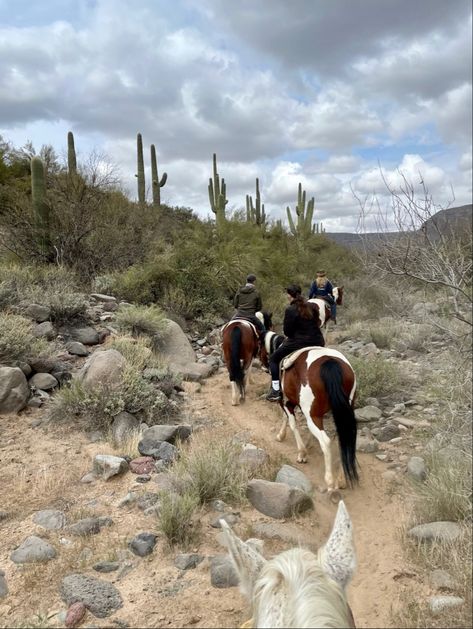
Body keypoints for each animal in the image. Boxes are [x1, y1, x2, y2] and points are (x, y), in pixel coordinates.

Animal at [260, 334, 356, 490]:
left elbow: (291, 422)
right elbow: (288, 419)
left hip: (312, 413)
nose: (263, 366)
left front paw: (301, 453)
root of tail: (330, 363)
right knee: (343, 438)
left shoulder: (286, 402)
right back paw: (341, 479)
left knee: (325, 441)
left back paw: (330, 480)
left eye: (259, 345)